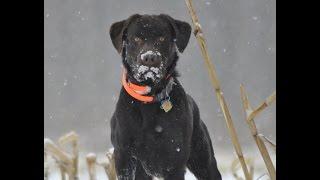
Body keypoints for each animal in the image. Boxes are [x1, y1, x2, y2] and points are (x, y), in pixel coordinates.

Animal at [109, 14, 221, 180]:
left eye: (162, 38)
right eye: (136, 38)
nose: (149, 58)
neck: (149, 99)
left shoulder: (174, 160)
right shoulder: (124, 156)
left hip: (204, 161)